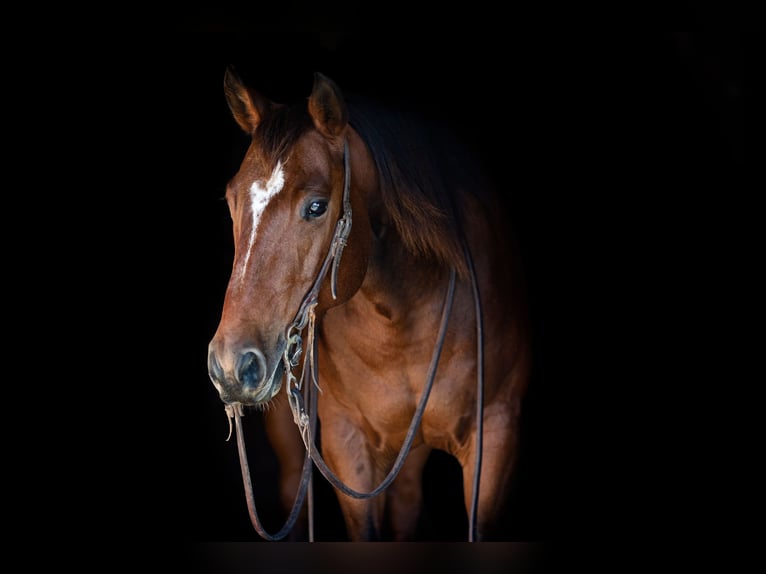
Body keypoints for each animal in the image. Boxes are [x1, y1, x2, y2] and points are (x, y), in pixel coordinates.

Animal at [210, 67, 536, 544]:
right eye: (233, 200)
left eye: (316, 206)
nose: (231, 366)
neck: (402, 321)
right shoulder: (348, 443)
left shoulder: (496, 435)